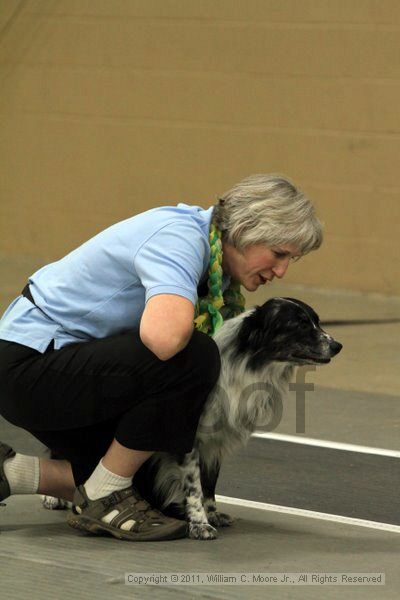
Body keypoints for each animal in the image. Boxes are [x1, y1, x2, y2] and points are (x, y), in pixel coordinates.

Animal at [44, 296, 344, 540]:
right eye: (299, 325)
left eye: (317, 321)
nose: (338, 346)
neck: (245, 364)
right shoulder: (189, 441)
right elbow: (194, 487)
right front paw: (199, 524)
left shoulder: (215, 443)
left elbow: (209, 484)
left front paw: (213, 514)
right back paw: (53, 497)